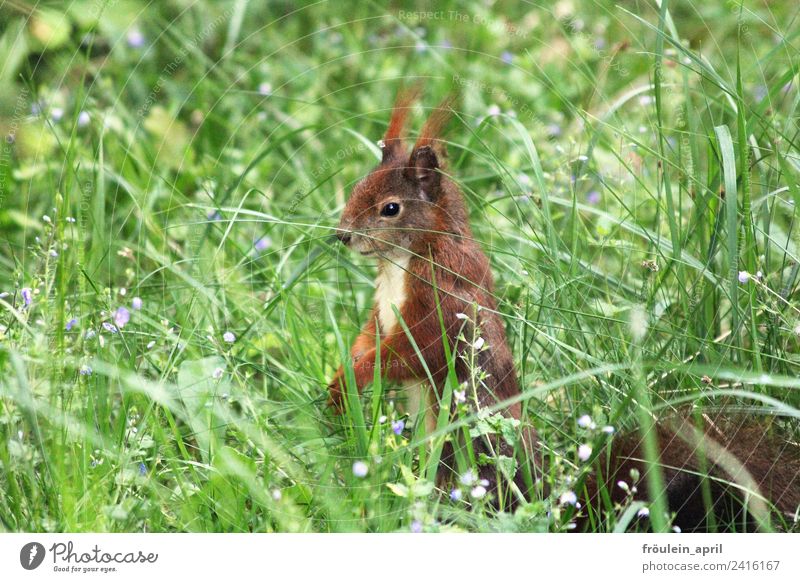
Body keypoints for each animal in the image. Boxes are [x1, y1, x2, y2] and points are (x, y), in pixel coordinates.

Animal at [326, 88, 800, 532]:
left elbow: (412, 352)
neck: (401, 261)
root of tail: (551, 507)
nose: (342, 236)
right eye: (356, 189)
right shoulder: (383, 309)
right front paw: (340, 376)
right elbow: (370, 334)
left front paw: (354, 377)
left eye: (390, 208)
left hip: (466, 455)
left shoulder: (442, 305)